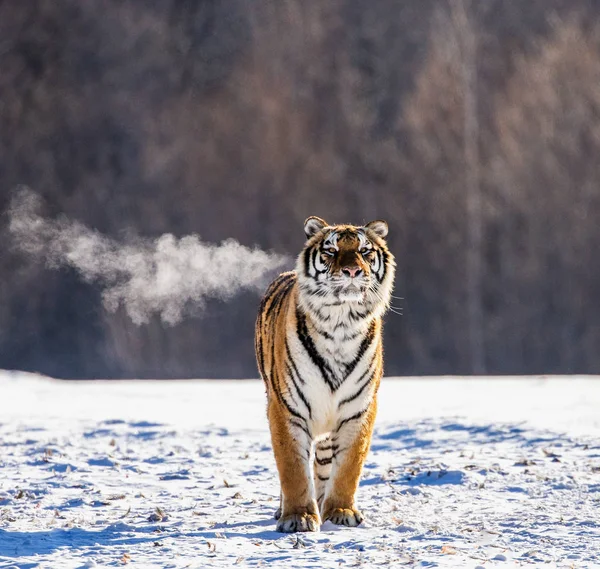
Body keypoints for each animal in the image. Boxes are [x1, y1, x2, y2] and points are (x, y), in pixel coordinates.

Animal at [255, 215, 396, 532]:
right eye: (331, 251)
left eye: (365, 251)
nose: (353, 271)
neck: (341, 324)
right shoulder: (286, 408)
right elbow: (293, 469)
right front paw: (298, 517)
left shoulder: (359, 409)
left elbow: (348, 467)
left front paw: (341, 511)